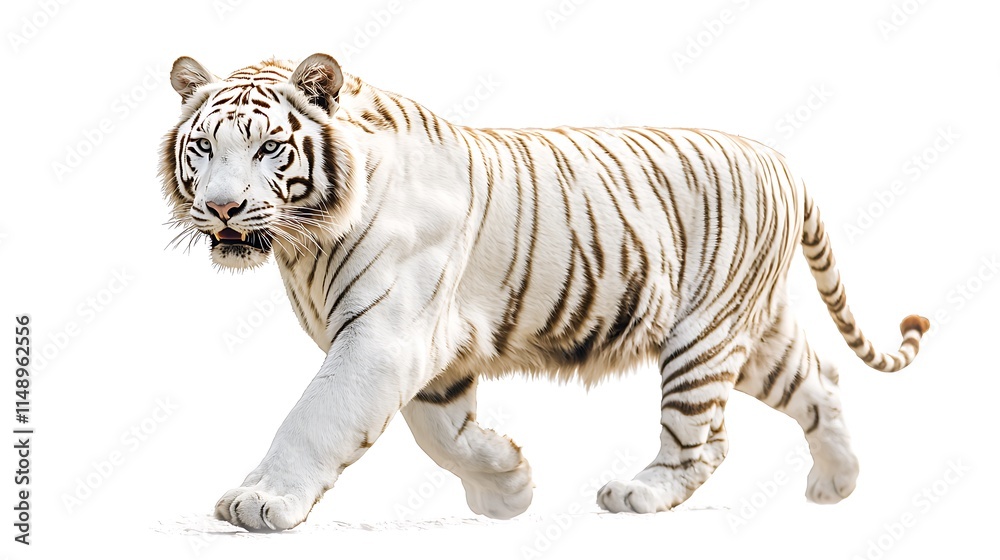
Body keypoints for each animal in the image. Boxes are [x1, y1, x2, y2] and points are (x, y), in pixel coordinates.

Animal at [159, 53, 929, 532]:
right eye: (203, 147)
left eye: (268, 148)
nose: (222, 209)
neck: (303, 246)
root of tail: (782, 161)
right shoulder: (428, 348)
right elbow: (441, 430)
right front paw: (509, 484)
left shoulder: (384, 336)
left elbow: (316, 418)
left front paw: (259, 501)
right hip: (754, 330)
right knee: (821, 381)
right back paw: (836, 485)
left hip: (703, 334)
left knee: (704, 441)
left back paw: (639, 493)